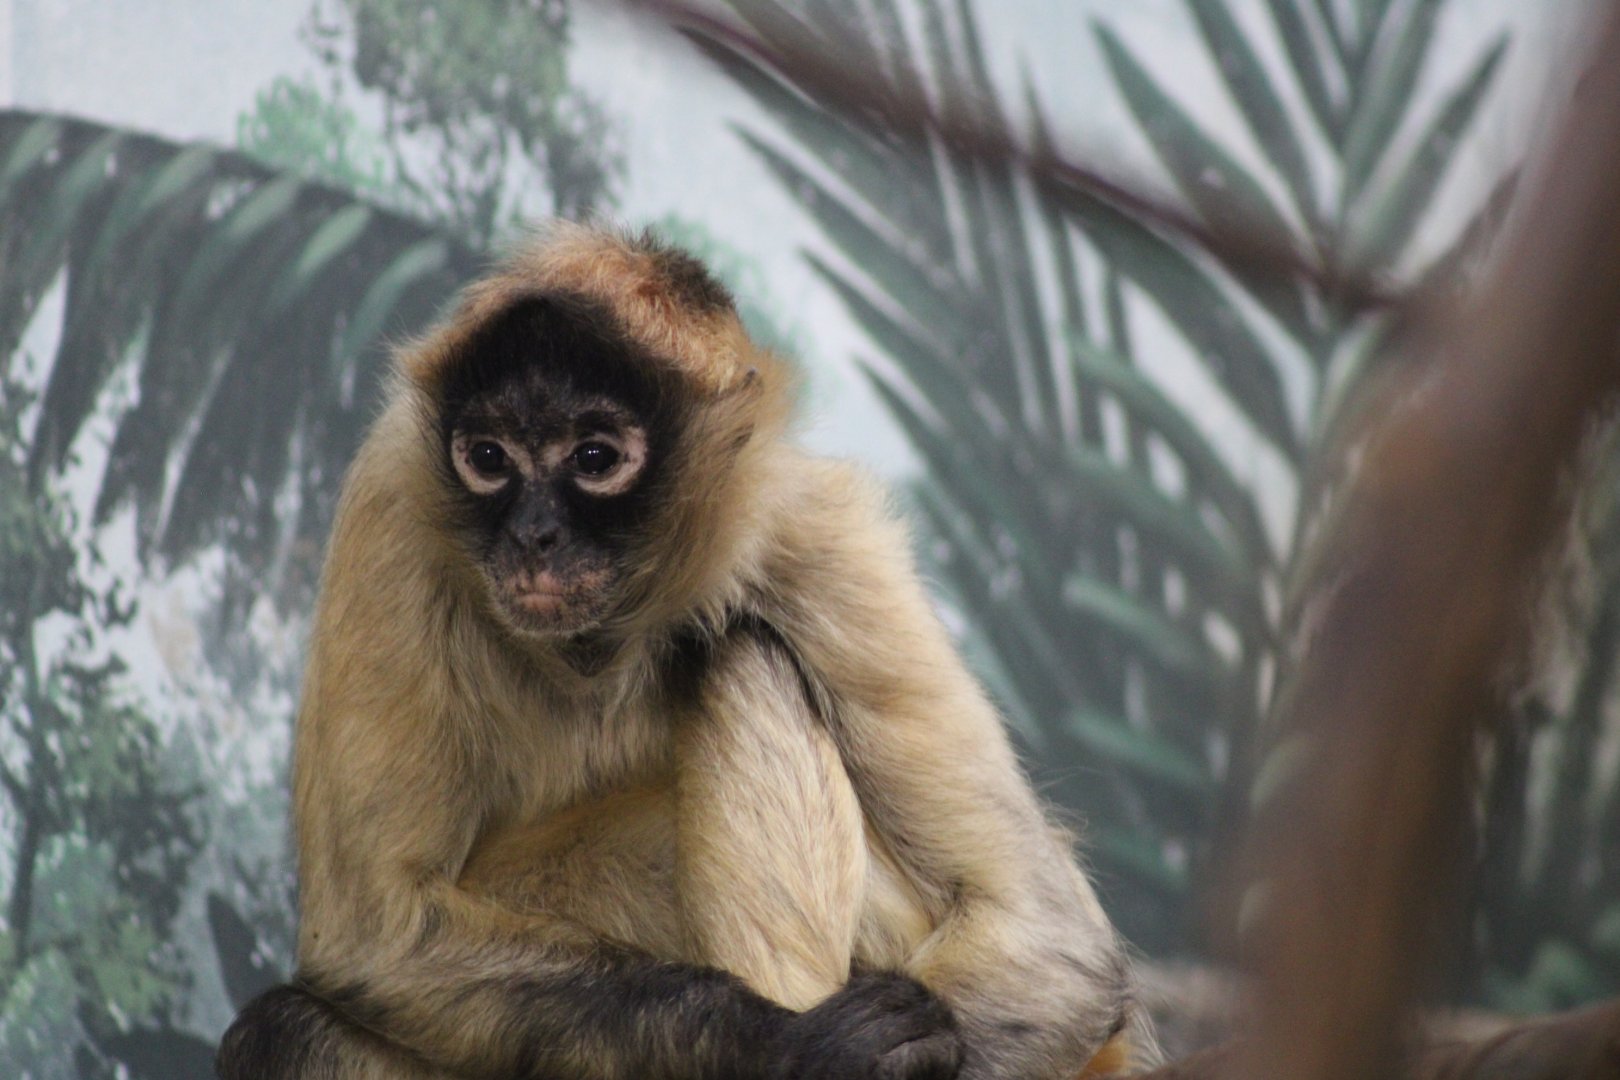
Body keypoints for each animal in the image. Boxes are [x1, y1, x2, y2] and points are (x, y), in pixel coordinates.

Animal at [217, 223, 1155, 1080]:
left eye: (595, 458)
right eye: (488, 457)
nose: (532, 535)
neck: (597, 643)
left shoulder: (814, 530)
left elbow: (1050, 943)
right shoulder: (395, 498)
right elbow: (377, 932)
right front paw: (788, 1051)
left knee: (739, 653)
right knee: (281, 1030)